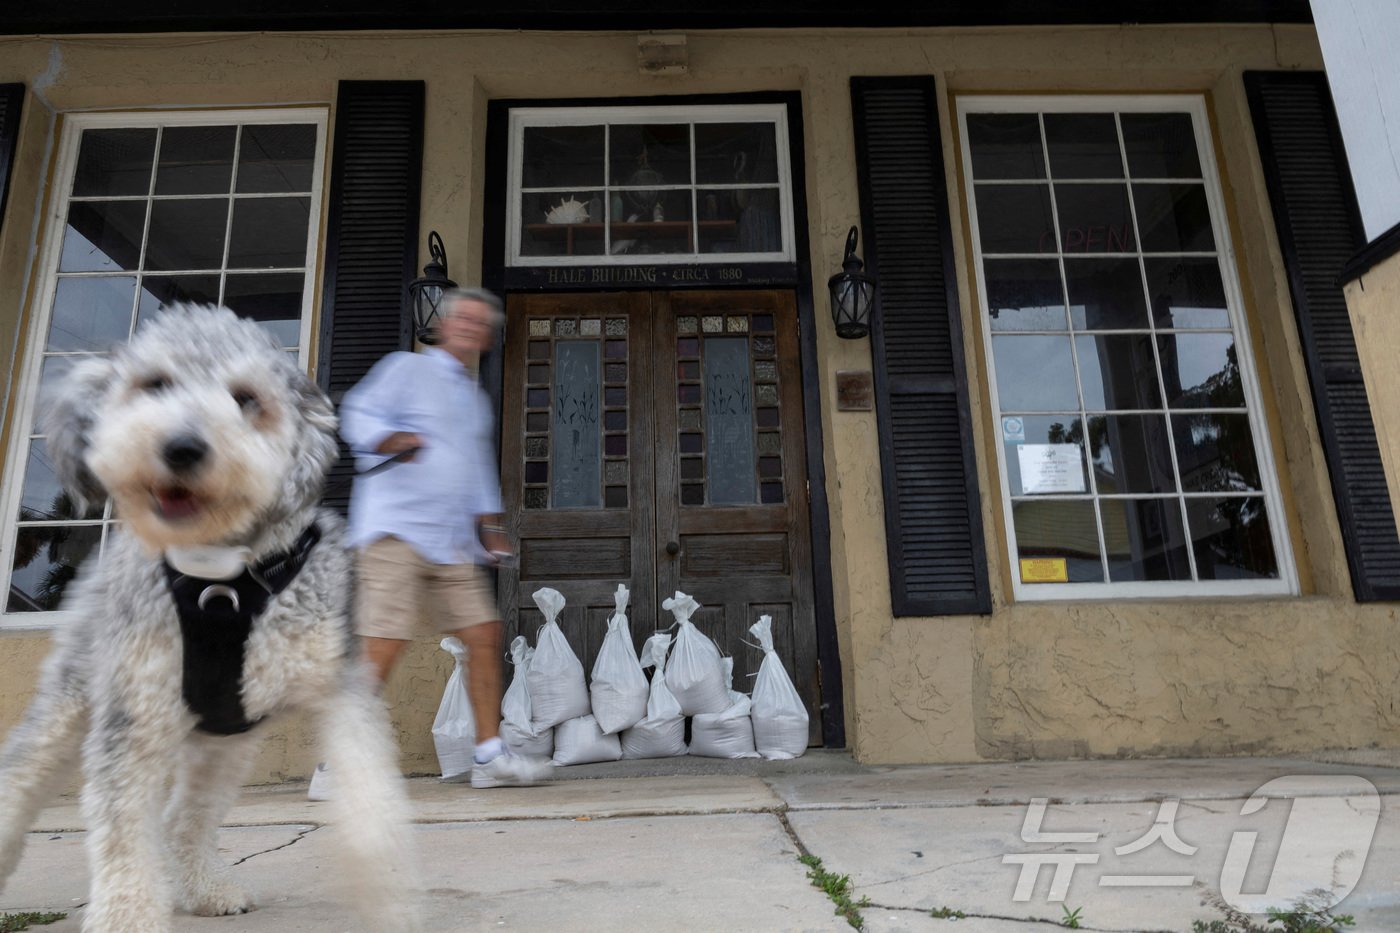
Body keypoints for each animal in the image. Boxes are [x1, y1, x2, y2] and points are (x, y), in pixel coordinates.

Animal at [0, 303, 414, 924]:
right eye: (154, 384)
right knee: (21, 777)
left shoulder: (338, 686)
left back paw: (208, 890)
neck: (222, 580)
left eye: (246, 398)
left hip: (224, 743)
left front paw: (391, 896)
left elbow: (371, 800)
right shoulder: (135, 716)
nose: (182, 447)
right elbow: (122, 833)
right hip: (72, 701)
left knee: (183, 816)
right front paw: (126, 917)